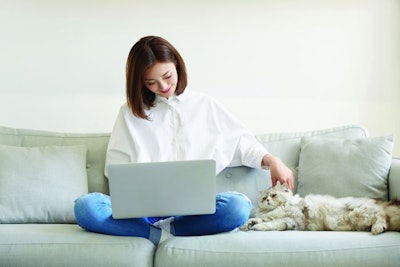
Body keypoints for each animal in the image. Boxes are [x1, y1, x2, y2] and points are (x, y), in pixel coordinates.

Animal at [241, 184, 400, 234]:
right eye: (264, 198)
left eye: (273, 195)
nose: (267, 200)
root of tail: (381, 202)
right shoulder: (269, 216)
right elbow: (257, 219)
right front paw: (246, 225)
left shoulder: (289, 220)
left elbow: (270, 224)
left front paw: (257, 227)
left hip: (361, 212)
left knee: (382, 217)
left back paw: (377, 229)